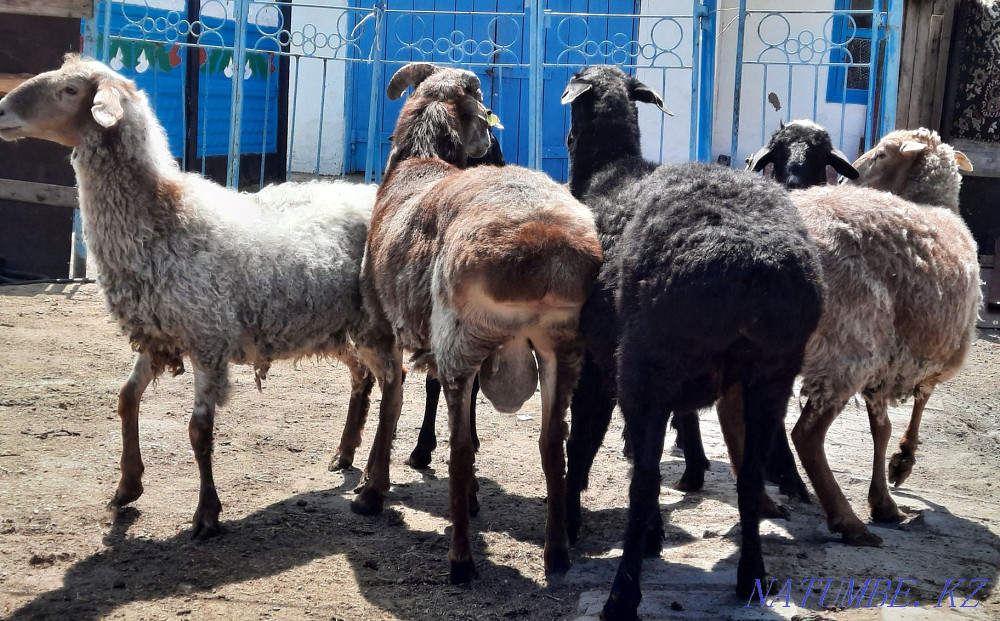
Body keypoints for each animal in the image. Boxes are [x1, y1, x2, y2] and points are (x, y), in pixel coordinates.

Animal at [0, 55, 377, 539]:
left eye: (69, 90)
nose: (1, 111)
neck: (165, 219)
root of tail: (371, 189)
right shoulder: (156, 332)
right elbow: (126, 398)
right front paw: (127, 486)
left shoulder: (207, 338)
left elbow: (199, 431)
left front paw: (207, 513)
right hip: (330, 327)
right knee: (361, 377)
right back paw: (345, 453)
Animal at [350, 62, 603, 584]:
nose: (493, 146)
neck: (420, 160)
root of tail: (545, 254)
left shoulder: (384, 325)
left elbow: (392, 401)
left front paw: (371, 489)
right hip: (559, 348)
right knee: (553, 445)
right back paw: (556, 553)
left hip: (460, 343)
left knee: (461, 450)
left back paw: (461, 562)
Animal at [560, 65, 824, 615]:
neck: (610, 173)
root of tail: (753, 266)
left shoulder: (597, 361)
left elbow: (586, 441)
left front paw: (572, 523)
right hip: (770, 376)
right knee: (749, 477)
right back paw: (751, 576)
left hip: (647, 365)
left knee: (642, 480)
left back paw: (622, 594)